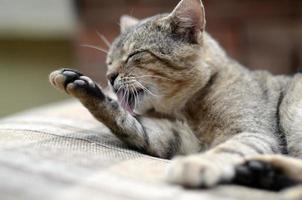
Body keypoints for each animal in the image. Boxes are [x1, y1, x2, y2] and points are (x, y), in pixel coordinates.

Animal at [50, 0, 302, 195]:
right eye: (109, 61)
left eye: (135, 54)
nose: (109, 77)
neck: (187, 108)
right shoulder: (179, 139)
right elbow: (128, 122)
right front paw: (84, 86)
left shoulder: (254, 132)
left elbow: (226, 149)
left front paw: (198, 164)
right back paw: (264, 173)